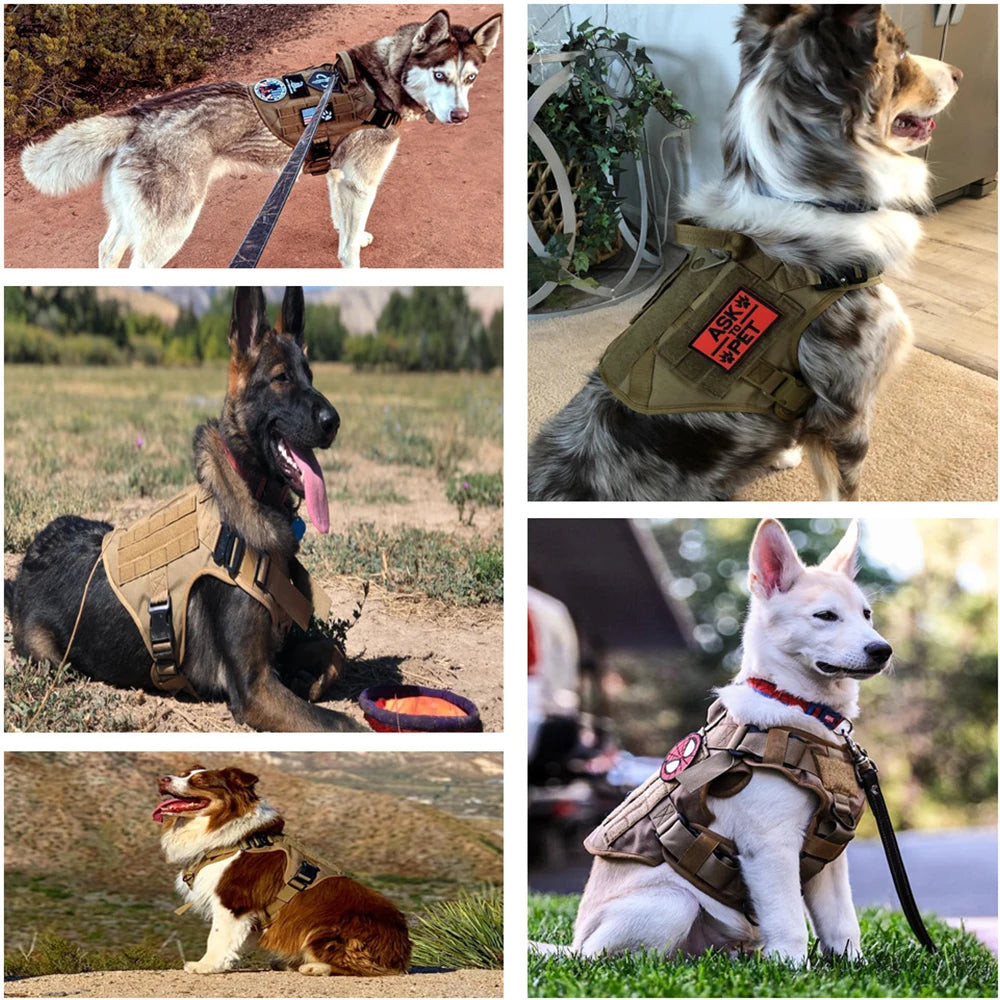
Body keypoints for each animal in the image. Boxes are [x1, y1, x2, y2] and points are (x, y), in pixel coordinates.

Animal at [7, 286, 360, 732]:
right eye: (281, 378)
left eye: (310, 376)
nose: (334, 422)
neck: (250, 489)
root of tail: (23, 570)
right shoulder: (254, 688)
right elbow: (343, 724)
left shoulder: (274, 656)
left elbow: (334, 650)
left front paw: (310, 678)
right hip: (50, 656)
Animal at [15, 7, 500, 272]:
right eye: (439, 75)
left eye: (470, 79)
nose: (460, 116)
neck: (376, 79)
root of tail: (137, 114)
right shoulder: (361, 182)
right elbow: (348, 248)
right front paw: (351, 258)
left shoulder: (339, 175)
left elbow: (341, 220)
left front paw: (351, 233)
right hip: (169, 227)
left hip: (131, 218)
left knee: (107, 251)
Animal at [153, 764, 410, 976]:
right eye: (183, 773)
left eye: (200, 781)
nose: (162, 779)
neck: (229, 834)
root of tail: (401, 951)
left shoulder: (233, 900)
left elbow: (216, 936)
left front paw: (206, 966)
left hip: (325, 930)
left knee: (360, 967)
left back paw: (313, 967)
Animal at [532, 4, 960, 504]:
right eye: (902, 54)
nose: (959, 73)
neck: (805, 197)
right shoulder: (846, 410)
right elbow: (843, 492)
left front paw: (783, 455)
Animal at [572, 520, 892, 964]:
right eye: (825, 616)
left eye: (866, 614)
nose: (883, 650)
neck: (798, 705)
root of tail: (572, 947)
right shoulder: (771, 847)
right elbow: (791, 922)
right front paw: (793, 969)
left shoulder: (830, 857)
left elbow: (842, 924)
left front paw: (853, 966)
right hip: (673, 903)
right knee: (626, 958)